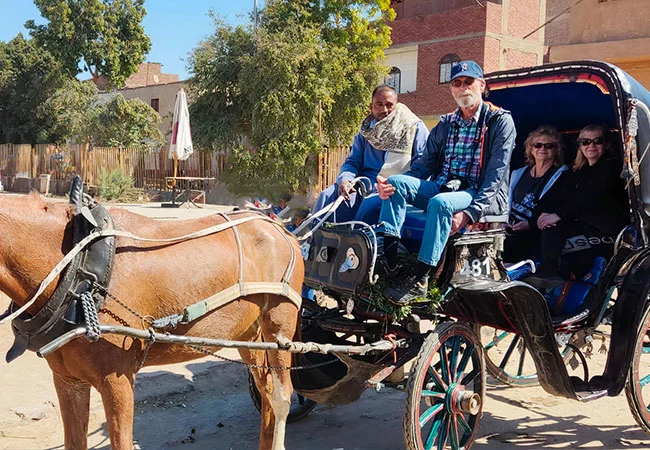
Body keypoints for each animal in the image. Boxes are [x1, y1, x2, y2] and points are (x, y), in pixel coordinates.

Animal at [0, 193, 302, 450]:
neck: (79, 271)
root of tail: (280, 228)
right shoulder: (67, 381)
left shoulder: (117, 380)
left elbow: (122, 442)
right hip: (248, 336)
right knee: (266, 391)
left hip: (279, 329)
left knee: (281, 396)